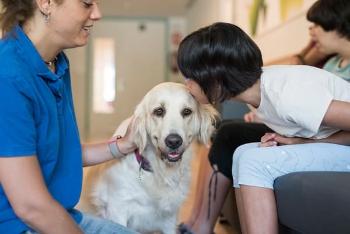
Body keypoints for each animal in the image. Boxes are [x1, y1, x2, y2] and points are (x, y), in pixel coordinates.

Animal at [80, 82, 217, 232]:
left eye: (187, 111)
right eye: (159, 111)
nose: (174, 141)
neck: (159, 171)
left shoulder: (170, 218)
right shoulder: (118, 209)